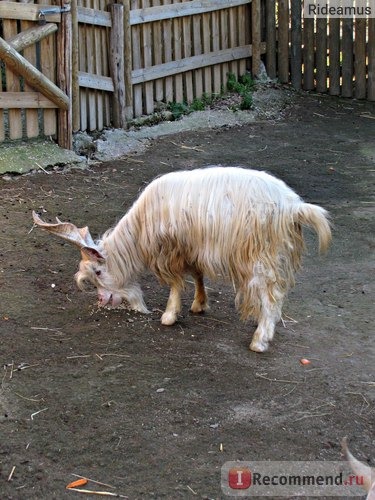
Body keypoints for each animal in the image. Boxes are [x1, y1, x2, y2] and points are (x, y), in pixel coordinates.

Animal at [32, 166, 332, 354]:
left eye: (97, 271)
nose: (102, 300)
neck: (140, 226)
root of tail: (293, 206)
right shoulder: (192, 248)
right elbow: (197, 274)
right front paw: (199, 305)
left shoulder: (169, 252)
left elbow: (176, 284)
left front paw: (168, 316)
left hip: (261, 255)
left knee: (271, 296)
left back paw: (259, 340)